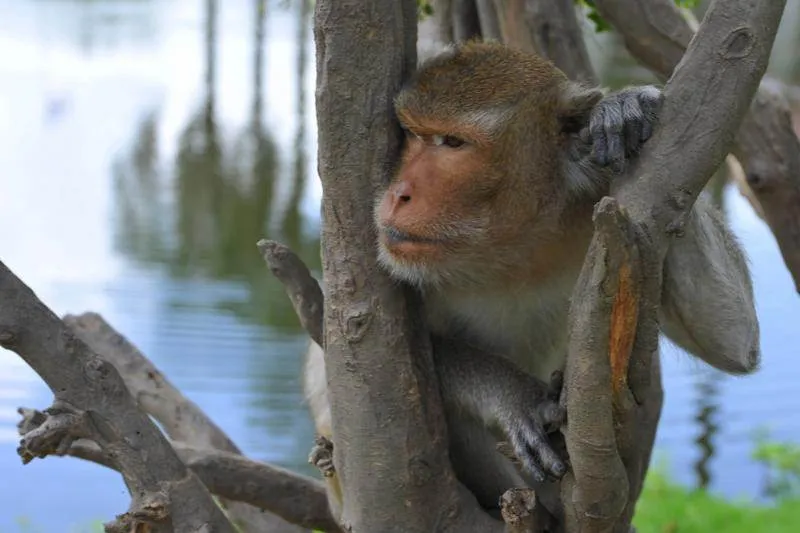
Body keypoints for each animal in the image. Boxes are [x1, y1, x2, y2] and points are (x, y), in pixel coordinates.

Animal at [304, 41, 760, 523]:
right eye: (411, 134)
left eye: (452, 143)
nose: (399, 193)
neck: (511, 244)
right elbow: (354, 359)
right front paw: (514, 395)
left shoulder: (603, 199)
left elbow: (734, 341)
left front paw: (626, 108)